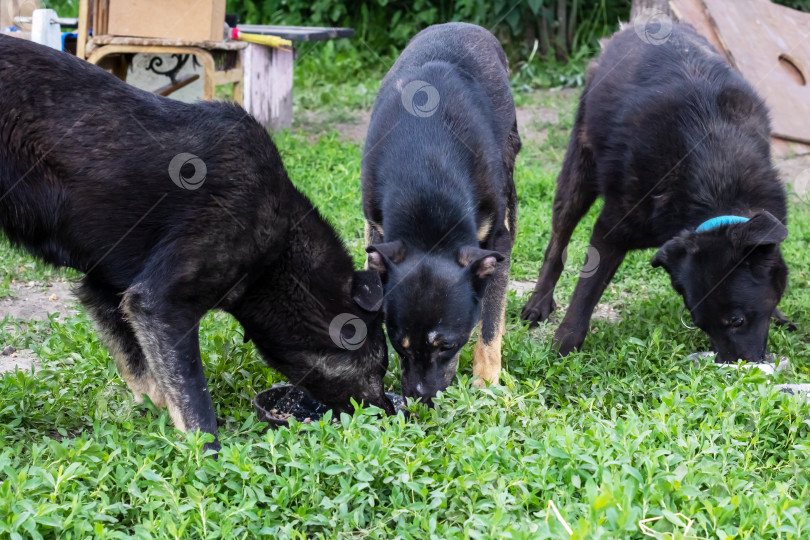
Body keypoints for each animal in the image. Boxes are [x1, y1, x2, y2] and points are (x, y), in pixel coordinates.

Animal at [362, 23, 520, 402]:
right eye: (399, 346)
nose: (420, 400)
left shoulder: (498, 241)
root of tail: (463, 25)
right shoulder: (375, 229)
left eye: (446, 346)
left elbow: (489, 321)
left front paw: (486, 381)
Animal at [516, 24, 788, 362]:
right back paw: (538, 302)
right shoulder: (611, 229)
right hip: (578, 175)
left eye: (736, 321)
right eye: (701, 324)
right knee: (557, 243)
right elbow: (585, 293)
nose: (736, 368)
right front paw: (562, 348)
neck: (716, 180)